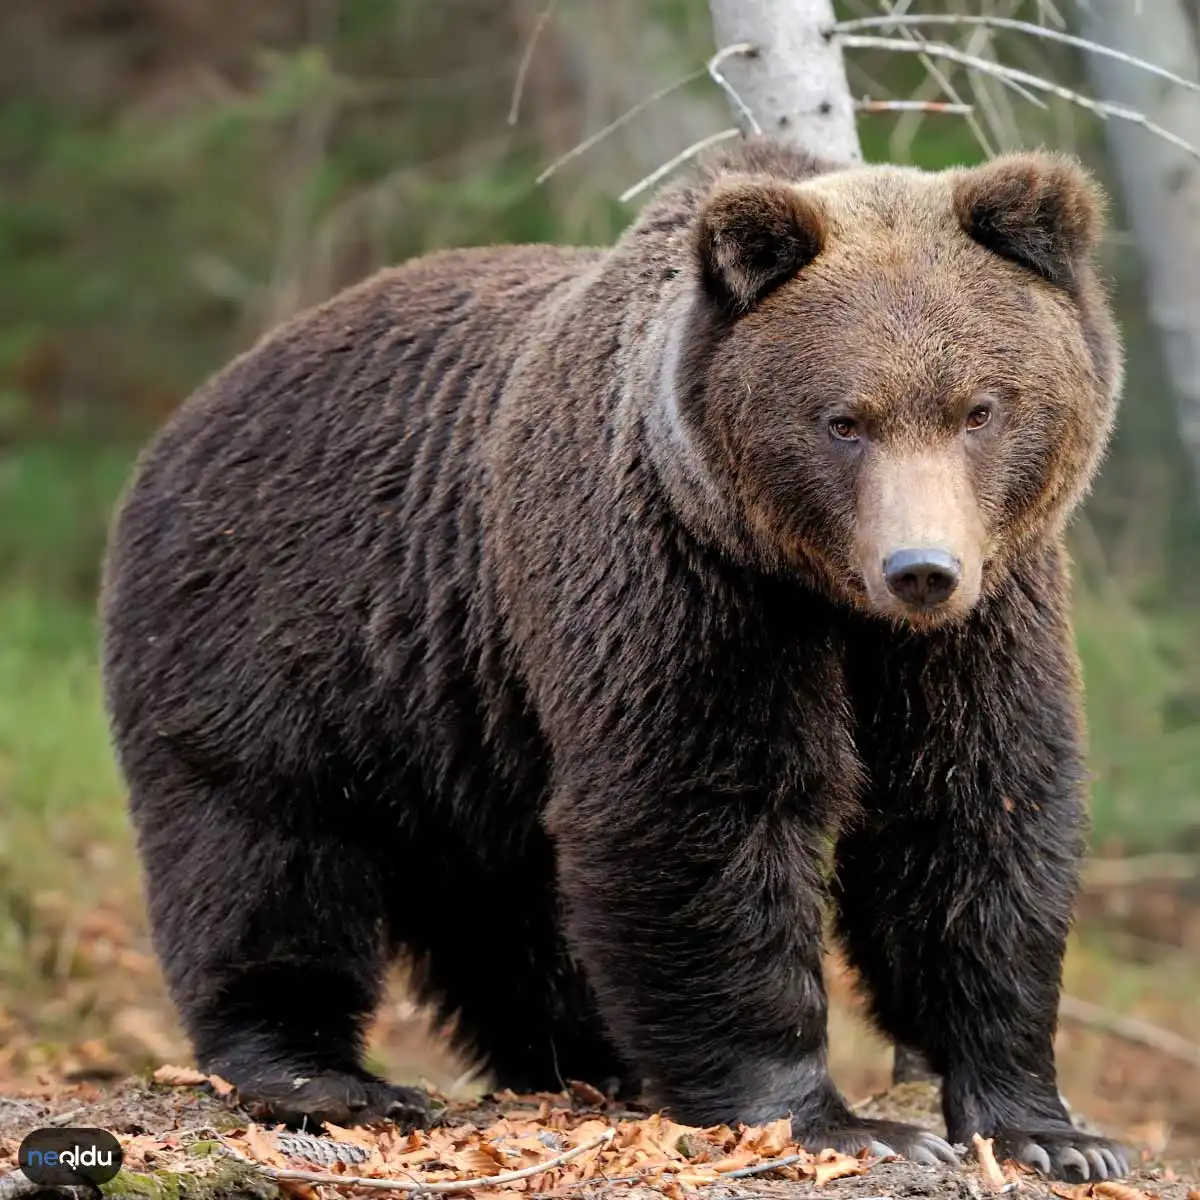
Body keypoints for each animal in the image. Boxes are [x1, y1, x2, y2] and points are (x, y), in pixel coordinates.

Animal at [100, 138, 1123, 1180]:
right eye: (845, 420)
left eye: (979, 410)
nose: (921, 568)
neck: (827, 597)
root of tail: (193, 413)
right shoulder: (678, 577)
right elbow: (697, 810)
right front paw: (836, 1119)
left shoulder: (983, 623)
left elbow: (976, 817)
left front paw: (1051, 1131)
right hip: (277, 631)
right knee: (265, 846)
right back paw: (320, 1073)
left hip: (464, 708)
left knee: (509, 904)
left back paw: (589, 1059)